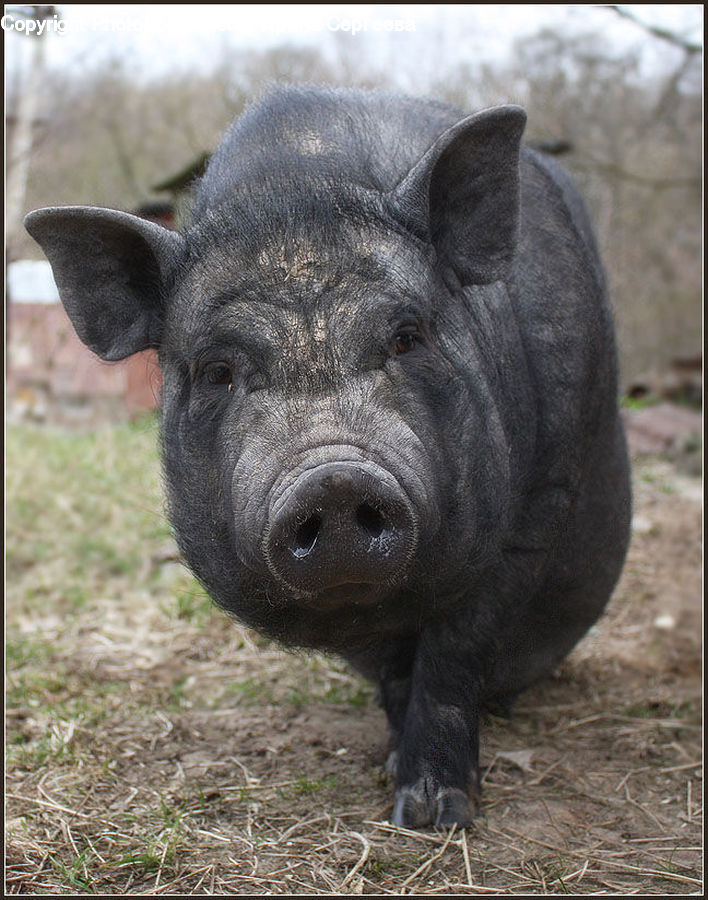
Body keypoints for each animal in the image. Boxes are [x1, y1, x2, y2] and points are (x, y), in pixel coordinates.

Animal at [25, 85, 631, 828]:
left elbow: (456, 652)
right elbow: (398, 668)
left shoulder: (538, 507)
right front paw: (397, 776)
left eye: (407, 337)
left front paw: (436, 816)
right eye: (218, 371)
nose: (335, 481)